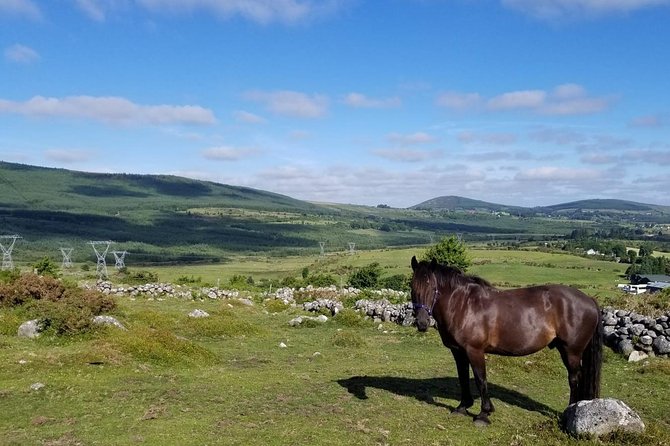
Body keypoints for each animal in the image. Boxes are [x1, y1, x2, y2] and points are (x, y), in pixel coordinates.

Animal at [412, 254, 608, 426]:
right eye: (413, 287)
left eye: (432, 287)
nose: (422, 323)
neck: (463, 305)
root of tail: (589, 299)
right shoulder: (458, 351)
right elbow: (463, 377)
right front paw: (462, 407)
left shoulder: (474, 351)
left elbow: (480, 379)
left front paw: (484, 414)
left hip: (571, 351)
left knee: (574, 378)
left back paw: (569, 410)